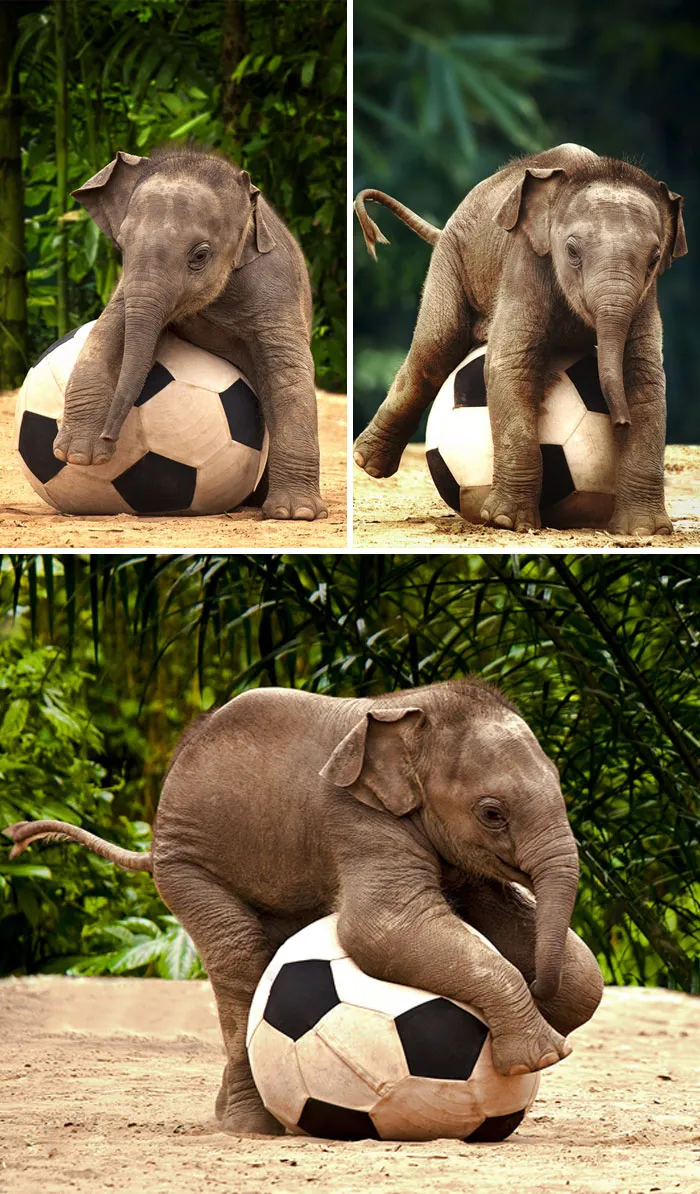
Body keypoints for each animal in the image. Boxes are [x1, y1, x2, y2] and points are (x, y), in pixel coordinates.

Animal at [6, 679, 603, 1135]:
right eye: (492, 813)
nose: (536, 986)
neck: (415, 708)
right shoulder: (355, 818)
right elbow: (379, 928)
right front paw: (543, 1055)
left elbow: (565, 961)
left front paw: (548, 1019)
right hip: (188, 864)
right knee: (241, 958)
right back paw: (252, 1126)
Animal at [54, 145, 327, 521]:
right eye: (122, 247)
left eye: (200, 255)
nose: (110, 439)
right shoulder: (129, 286)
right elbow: (110, 332)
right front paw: (77, 455)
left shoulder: (275, 286)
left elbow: (287, 374)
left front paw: (295, 514)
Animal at [354, 143, 687, 536]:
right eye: (572, 252)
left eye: (654, 259)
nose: (619, 422)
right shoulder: (525, 262)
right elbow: (511, 365)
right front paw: (507, 522)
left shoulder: (646, 297)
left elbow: (643, 377)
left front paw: (643, 531)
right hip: (452, 259)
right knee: (435, 349)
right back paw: (366, 462)